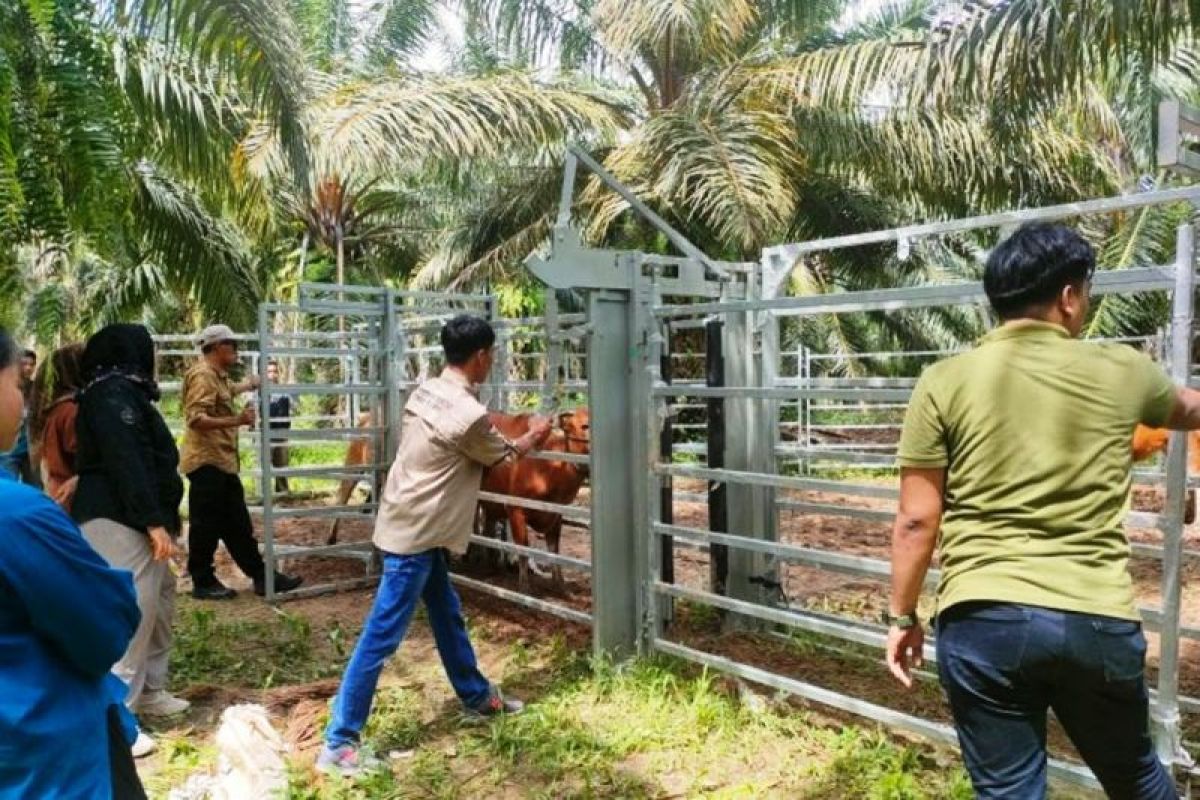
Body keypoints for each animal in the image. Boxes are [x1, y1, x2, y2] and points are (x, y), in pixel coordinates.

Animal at [477, 412, 590, 594]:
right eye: (584, 425)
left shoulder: (556, 512)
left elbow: (554, 548)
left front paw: (561, 585)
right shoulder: (515, 508)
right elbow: (524, 547)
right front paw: (524, 587)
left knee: (487, 529)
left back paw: (491, 566)